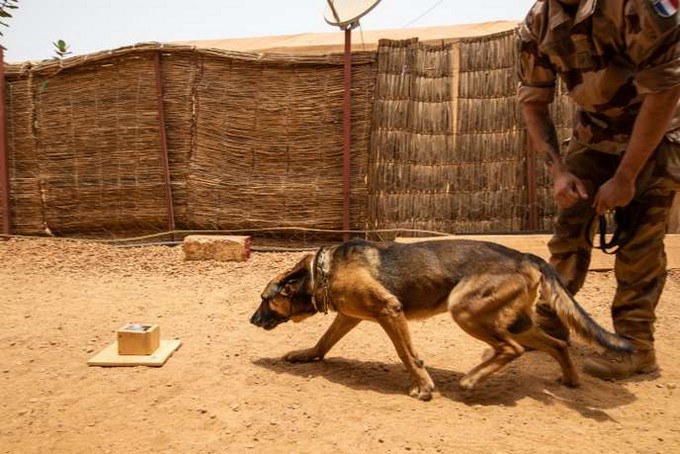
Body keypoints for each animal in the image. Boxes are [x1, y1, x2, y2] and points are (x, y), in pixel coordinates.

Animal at [250, 239, 632, 400]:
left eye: (264, 299)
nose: (252, 320)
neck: (323, 273)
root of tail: (525, 254)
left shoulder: (389, 311)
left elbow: (407, 354)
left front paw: (423, 386)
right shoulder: (350, 317)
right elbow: (324, 341)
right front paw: (306, 355)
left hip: (465, 309)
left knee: (512, 349)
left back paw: (472, 379)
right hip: (517, 323)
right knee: (557, 344)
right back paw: (570, 379)